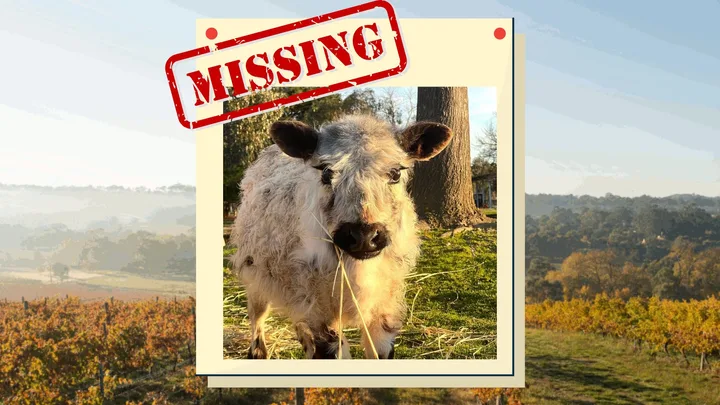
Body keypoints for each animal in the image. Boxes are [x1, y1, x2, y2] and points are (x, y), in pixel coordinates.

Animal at [230, 114, 452, 359]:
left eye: (395, 173)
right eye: (326, 173)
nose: (363, 235)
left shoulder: (384, 307)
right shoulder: (320, 311)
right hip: (255, 275)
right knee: (257, 315)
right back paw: (258, 351)